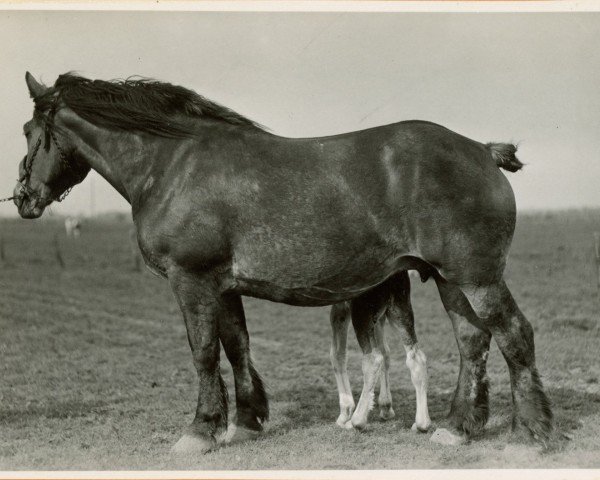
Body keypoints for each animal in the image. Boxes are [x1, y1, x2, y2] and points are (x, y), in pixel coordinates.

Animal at [328, 270, 432, 432]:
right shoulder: (377, 317)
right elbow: (385, 351)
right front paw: (386, 406)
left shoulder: (342, 306)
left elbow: (338, 355)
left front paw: (345, 413)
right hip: (399, 311)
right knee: (415, 356)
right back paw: (421, 423)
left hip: (363, 312)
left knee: (373, 359)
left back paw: (357, 420)